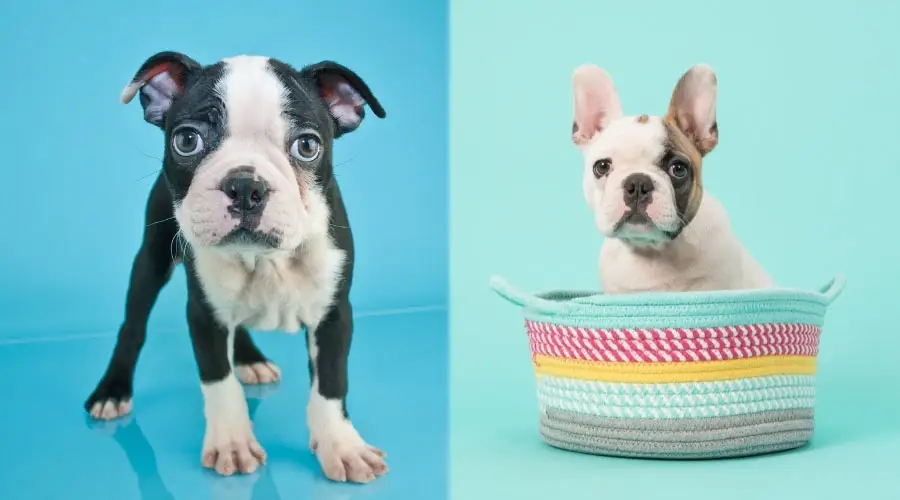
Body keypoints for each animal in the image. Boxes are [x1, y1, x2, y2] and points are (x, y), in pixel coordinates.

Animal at [85, 51, 390, 484]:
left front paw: (342, 447)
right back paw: (112, 390)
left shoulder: (333, 314)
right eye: (187, 140)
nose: (246, 185)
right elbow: (218, 379)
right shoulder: (204, 314)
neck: (265, 260)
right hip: (152, 259)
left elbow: (331, 383)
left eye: (308, 145)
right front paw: (232, 442)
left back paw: (249, 358)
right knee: (134, 325)